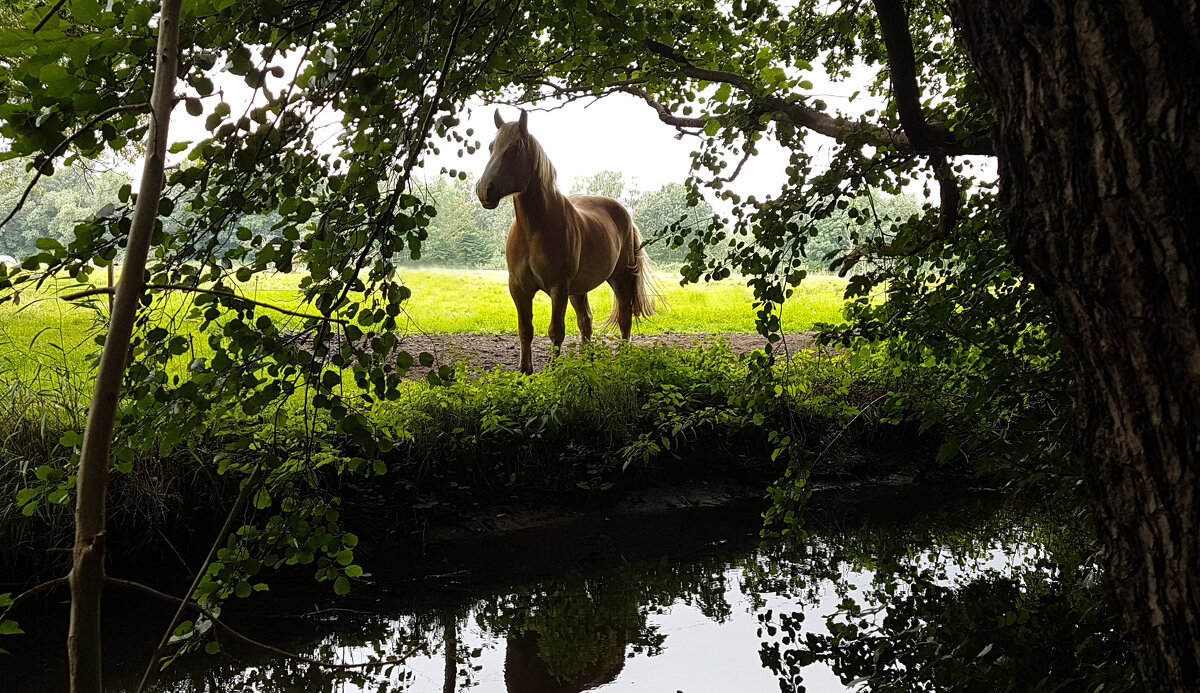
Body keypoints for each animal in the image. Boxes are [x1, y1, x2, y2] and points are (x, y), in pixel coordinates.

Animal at [472, 109, 657, 371]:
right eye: (491, 147)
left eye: (516, 149)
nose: (484, 190)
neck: (534, 229)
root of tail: (625, 216)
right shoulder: (519, 288)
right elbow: (525, 330)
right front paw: (525, 371)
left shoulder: (558, 287)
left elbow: (556, 330)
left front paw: (552, 370)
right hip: (578, 288)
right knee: (586, 320)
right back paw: (586, 362)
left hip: (620, 279)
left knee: (624, 317)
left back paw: (623, 358)